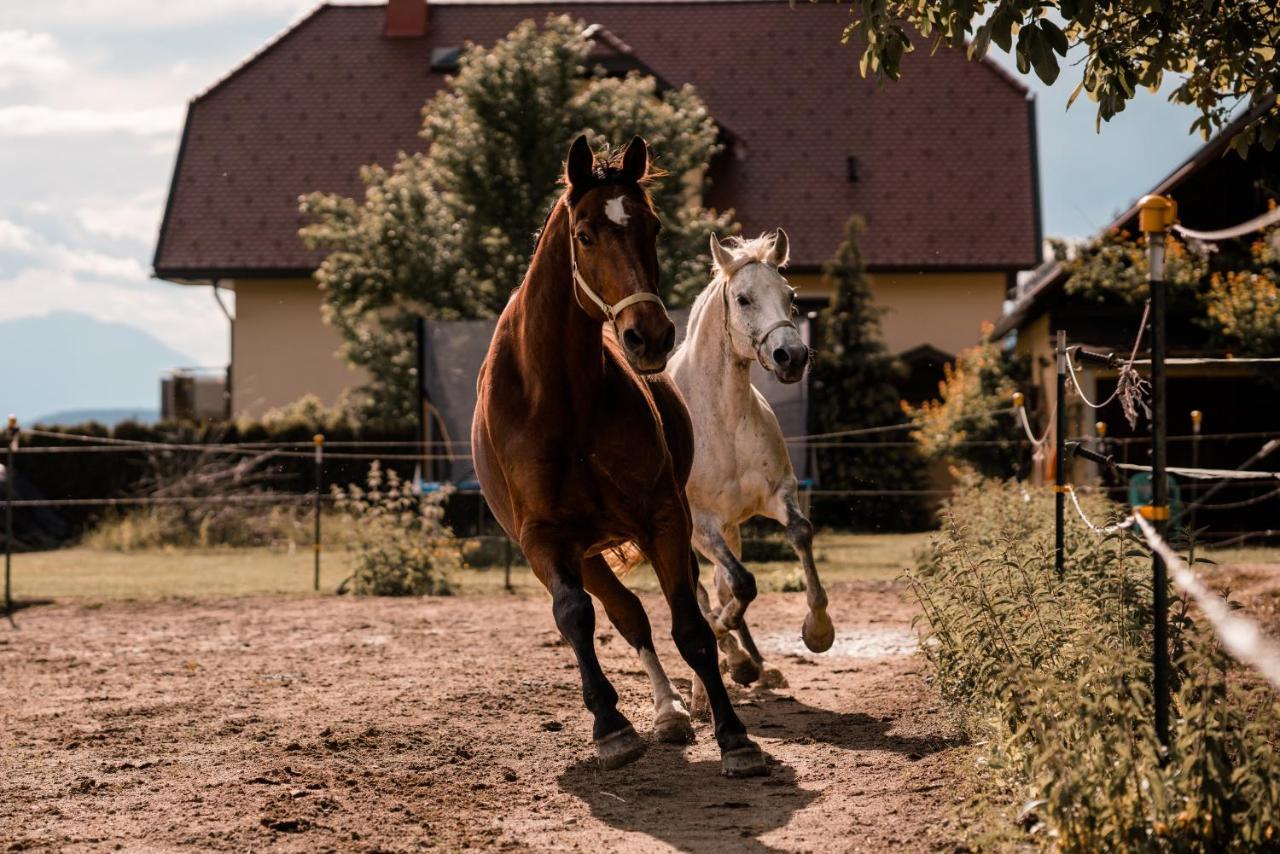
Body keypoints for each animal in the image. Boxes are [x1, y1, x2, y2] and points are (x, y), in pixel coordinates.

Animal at [476, 135, 762, 783]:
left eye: (652, 226)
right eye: (584, 235)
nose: (648, 337)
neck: (562, 398)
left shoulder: (664, 516)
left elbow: (692, 627)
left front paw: (734, 736)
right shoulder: (544, 539)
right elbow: (577, 617)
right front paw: (610, 726)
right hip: (582, 553)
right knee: (626, 614)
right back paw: (664, 712)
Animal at [670, 230, 839, 706]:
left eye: (791, 296)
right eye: (743, 299)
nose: (791, 357)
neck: (723, 418)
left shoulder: (778, 495)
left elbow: (800, 533)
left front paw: (818, 630)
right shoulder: (700, 525)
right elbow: (742, 586)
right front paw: (731, 652)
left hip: (731, 530)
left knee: (717, 586)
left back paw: (751, 665)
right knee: (702, 592)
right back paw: (715, 681)